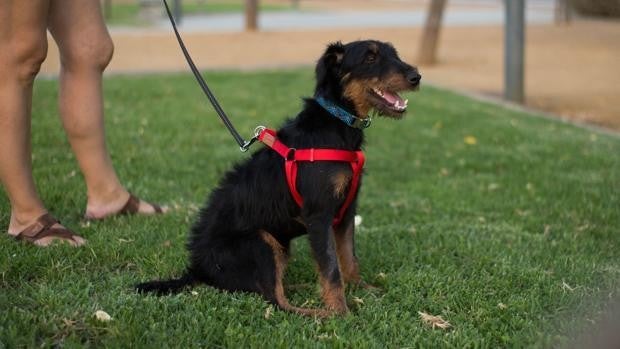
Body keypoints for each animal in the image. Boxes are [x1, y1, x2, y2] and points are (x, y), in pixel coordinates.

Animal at [137, 40, 422, 316]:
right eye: (370, 58)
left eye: (394, 54)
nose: (416, 77)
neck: (336, 121)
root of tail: (198, 270)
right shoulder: (319, 215)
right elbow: (331, 269)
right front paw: (341, 311)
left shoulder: (346, 210)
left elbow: (349, 259)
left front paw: (361, 289)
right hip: (261, 242)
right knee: (276, 300)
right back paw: (320, 312)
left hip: (278, 247)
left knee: (271, 288)